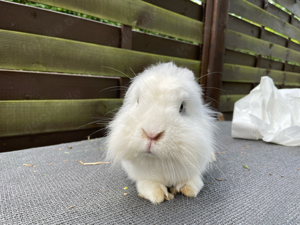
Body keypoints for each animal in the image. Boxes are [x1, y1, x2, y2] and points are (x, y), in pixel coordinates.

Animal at [105, 61, 216, 204]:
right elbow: (149, 184)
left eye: (182, 107)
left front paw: (188, 188)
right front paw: (158, 195)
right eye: (138, 101)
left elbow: (193, 181)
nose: (151, 134)